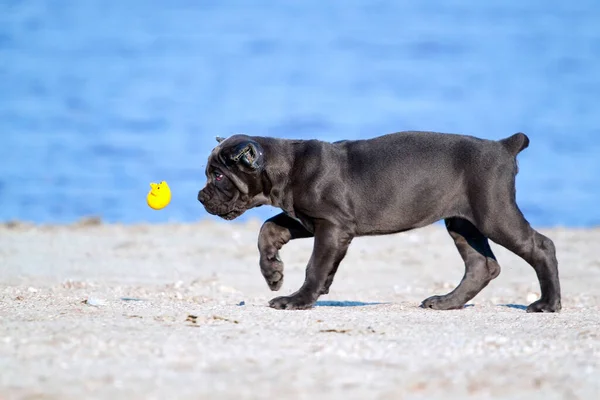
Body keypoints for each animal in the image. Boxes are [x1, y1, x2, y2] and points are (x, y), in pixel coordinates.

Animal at [199, 131, 560, 312]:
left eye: (218, 176)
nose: (201, 197)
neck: (287, 165)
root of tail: (504, 146)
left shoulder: (332, 225)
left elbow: (315, 265)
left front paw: (298, 300)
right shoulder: (309, 221)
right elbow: (268, 229)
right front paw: (273, 272)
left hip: (493, 212)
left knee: (541, 246)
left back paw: (547, 304)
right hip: (462, 222)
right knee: (481, 265)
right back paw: (446, 303)